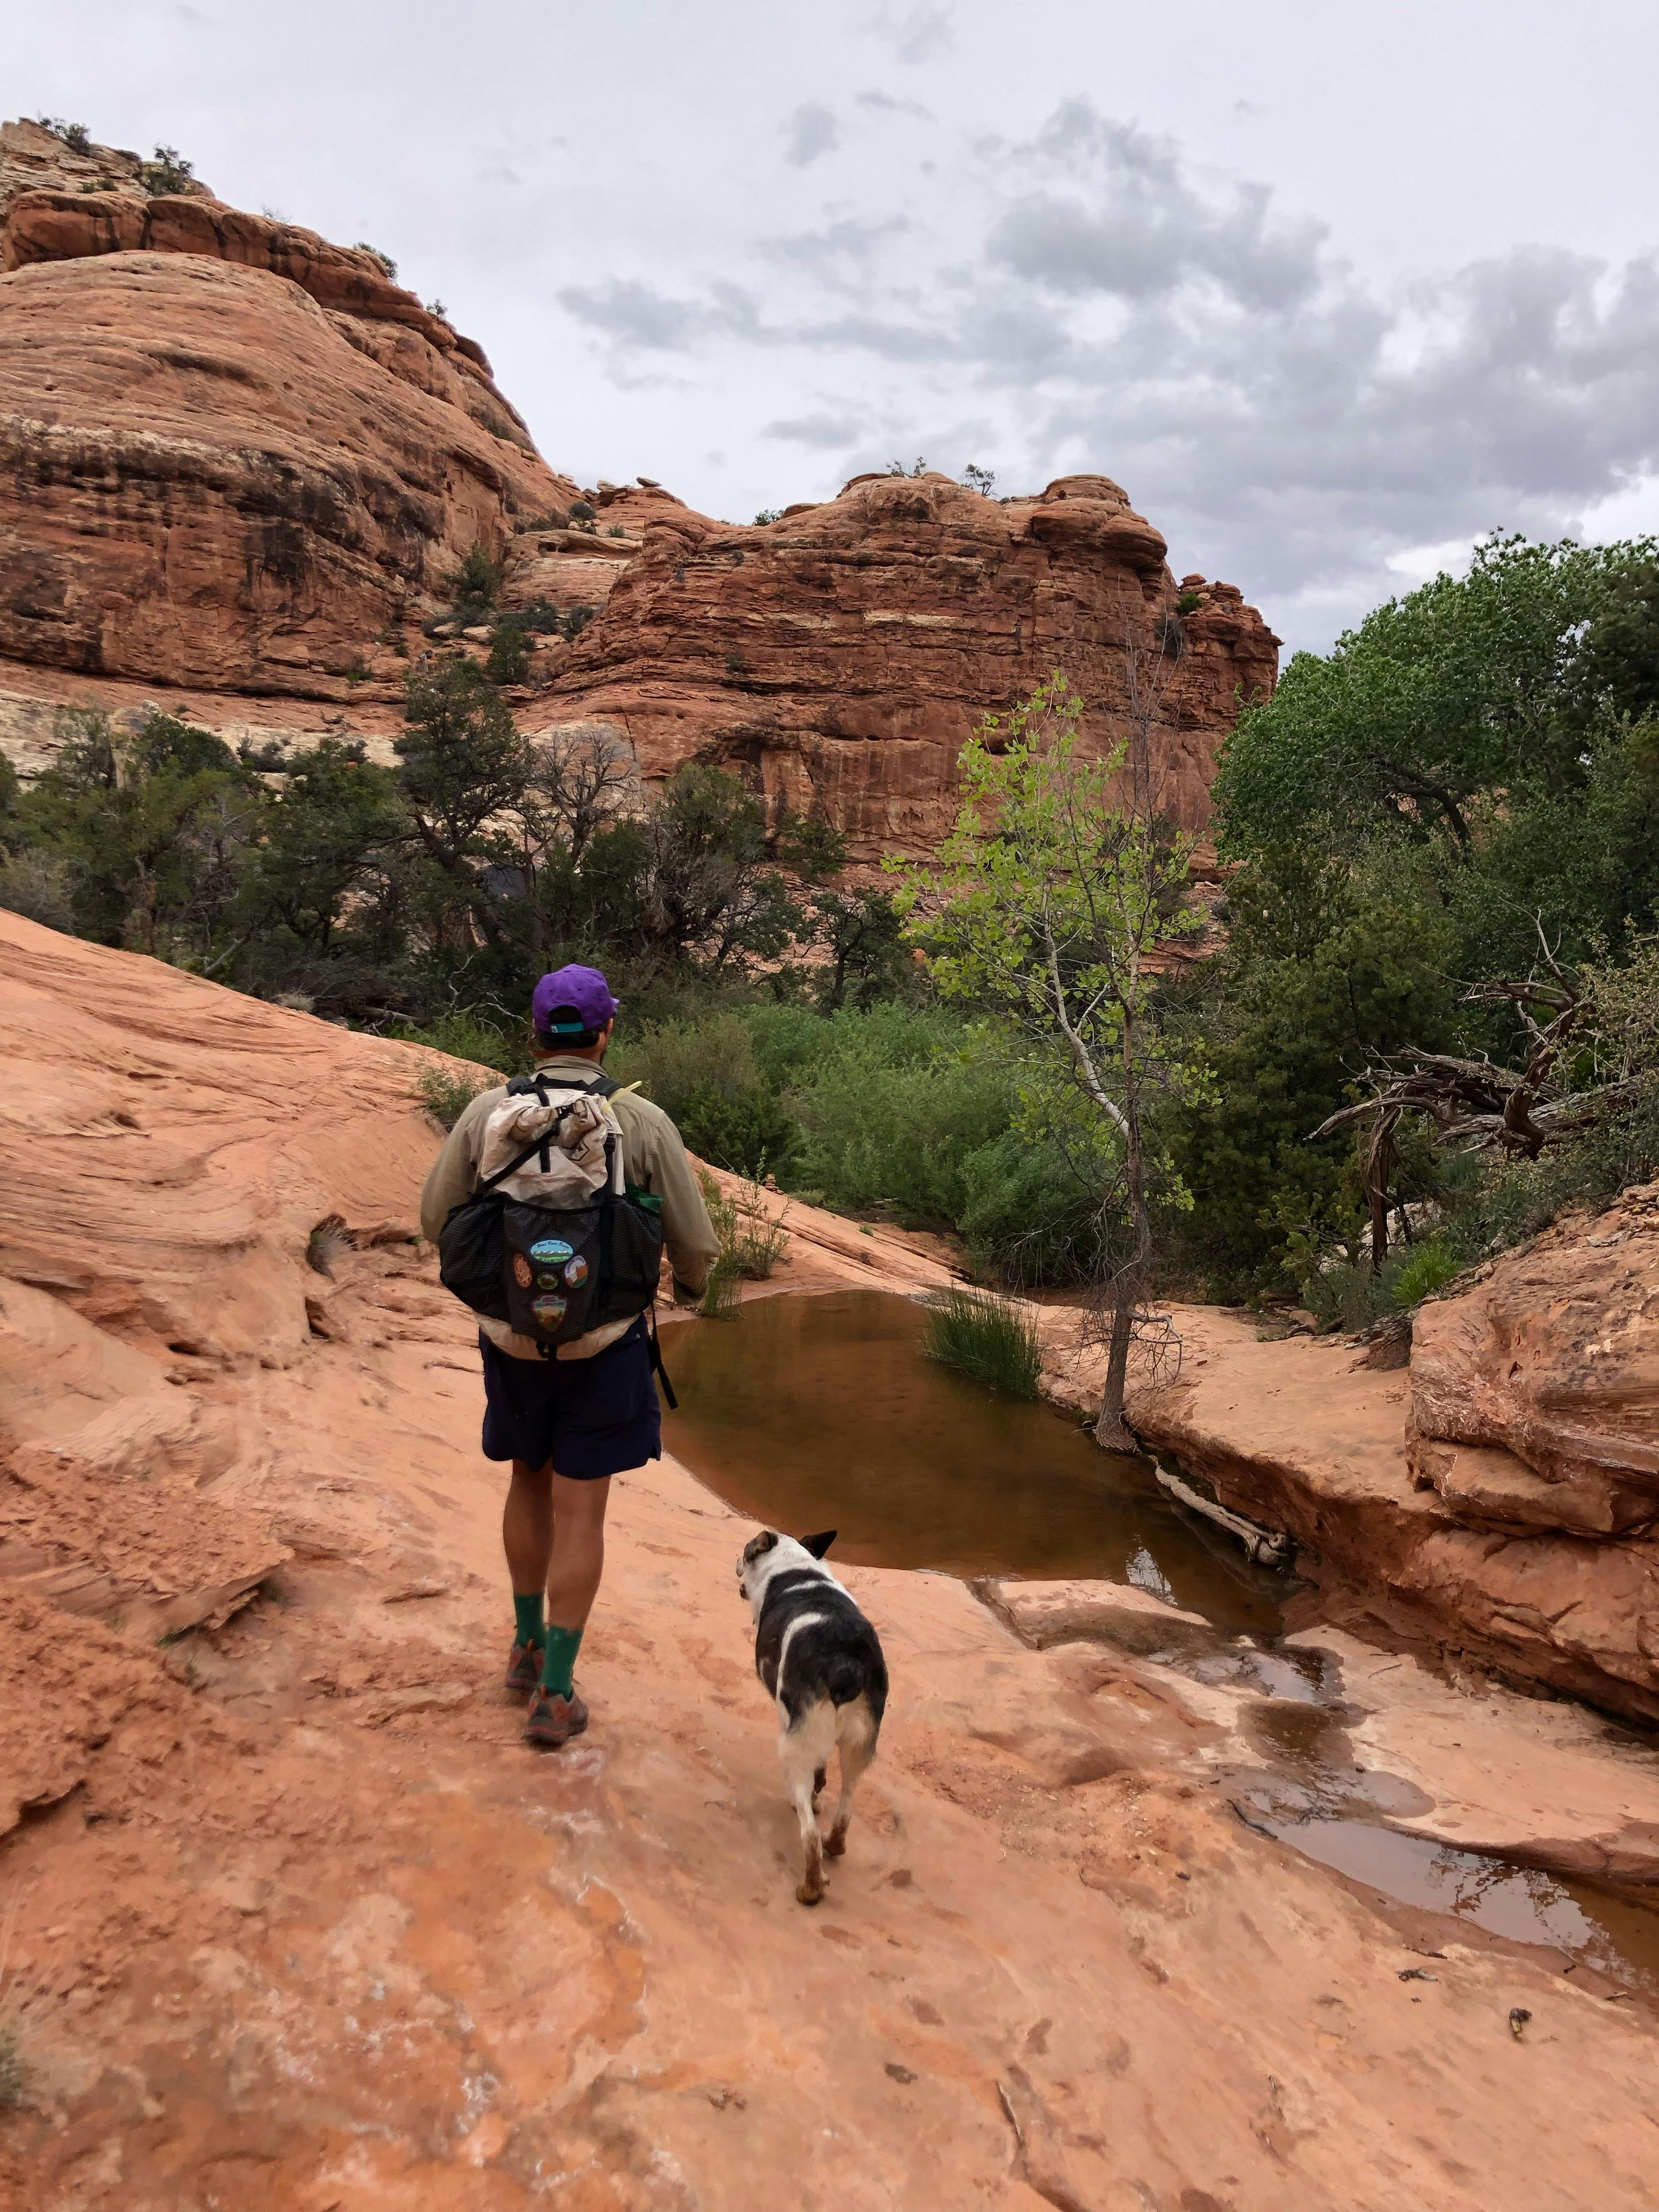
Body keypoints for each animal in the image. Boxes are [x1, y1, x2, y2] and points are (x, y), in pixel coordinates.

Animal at [738, 1531, 889, 1911]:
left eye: (745, 1554)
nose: (735, 1564)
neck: (794, 1564)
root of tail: (844, 1661)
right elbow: (823, 1773)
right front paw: (820, 1792)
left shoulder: (788, 1716)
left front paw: (810, 1798)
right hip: (860, 1747)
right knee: (846, 1805)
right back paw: (835, 1845)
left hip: (793, 1746)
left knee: (809, 1834)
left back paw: (811, 1888)